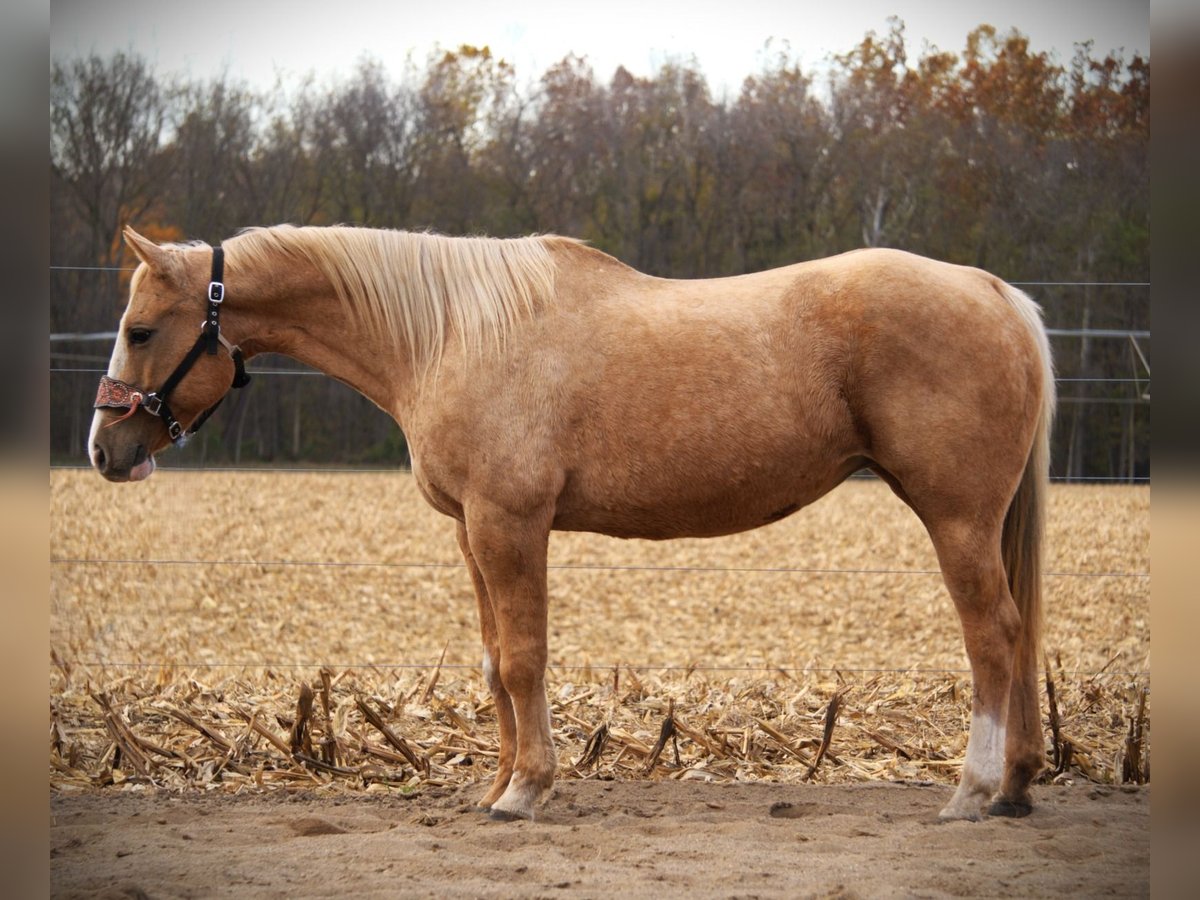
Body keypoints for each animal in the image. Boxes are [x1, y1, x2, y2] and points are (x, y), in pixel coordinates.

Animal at [89, 224, 1054, 822]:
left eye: (140, 330)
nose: (106, 449)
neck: (450, 334)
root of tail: (995, 293)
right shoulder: (471, 531)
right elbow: (493, 662)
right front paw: (498, 785)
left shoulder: (510, 524)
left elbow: (523, 659)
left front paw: (527, 791)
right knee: (1016, 636)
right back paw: (1014, 785)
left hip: (956, 520)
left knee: (992, 636)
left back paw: (973, 790)